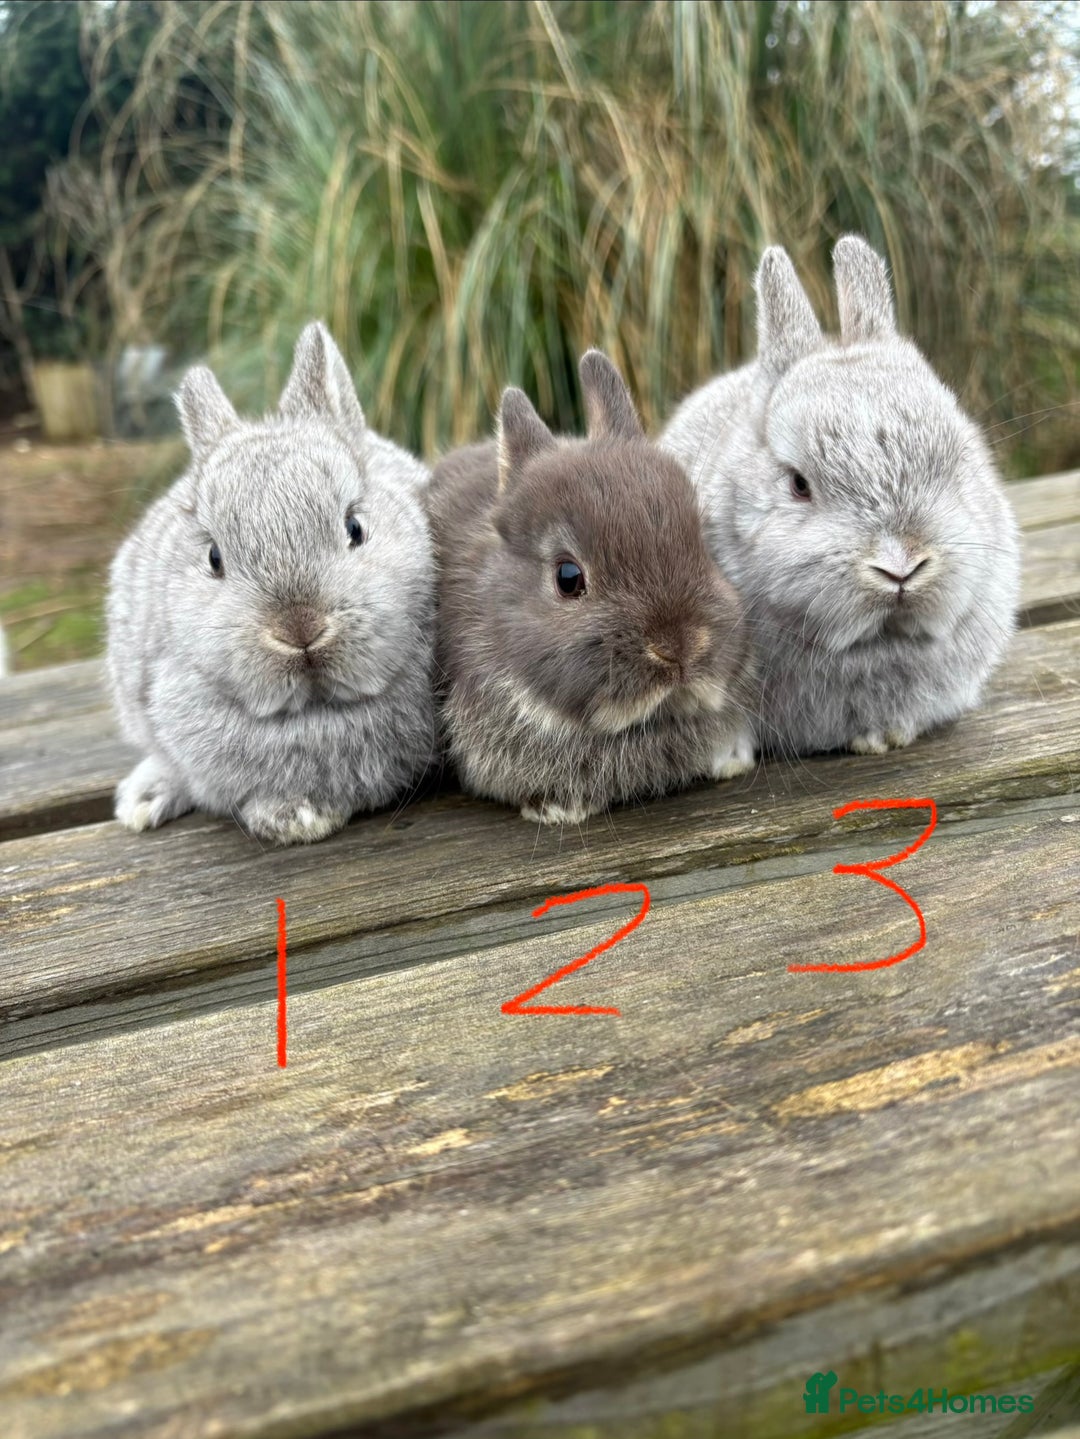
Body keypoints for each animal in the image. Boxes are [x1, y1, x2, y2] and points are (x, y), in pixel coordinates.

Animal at [106, 321, 436, 845]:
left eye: (355, 528)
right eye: (214, 558)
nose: (299, 629)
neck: (315, 713)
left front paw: (300, 820)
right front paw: (294, 820)